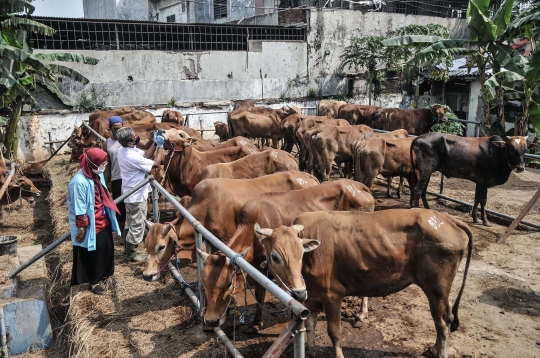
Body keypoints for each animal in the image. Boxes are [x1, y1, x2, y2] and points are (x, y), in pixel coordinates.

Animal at [142, 171, 320, 280]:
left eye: (161, 246)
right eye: (146, 244)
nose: (146, 275)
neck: (206, 206)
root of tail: (308, 176)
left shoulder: (226, 238)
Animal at [196, 180, 374, 334]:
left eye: (227, 284)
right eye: (203, 285)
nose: (211, 321)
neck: (252, 232)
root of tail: (360, 186)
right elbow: (260, 294)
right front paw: (255, 324)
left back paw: (361, 314)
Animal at [255, 208, 470, 356]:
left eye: (301, 254)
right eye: (275, 257)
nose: (298, 292)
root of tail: (447, 218)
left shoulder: (332, 295)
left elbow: (334, 332)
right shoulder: (311, 298)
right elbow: (310, 324)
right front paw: (311, 351)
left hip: (436, 289)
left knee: (442, 322)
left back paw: (441, 352)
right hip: (440, 291)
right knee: (445, 318)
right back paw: (434, 348)